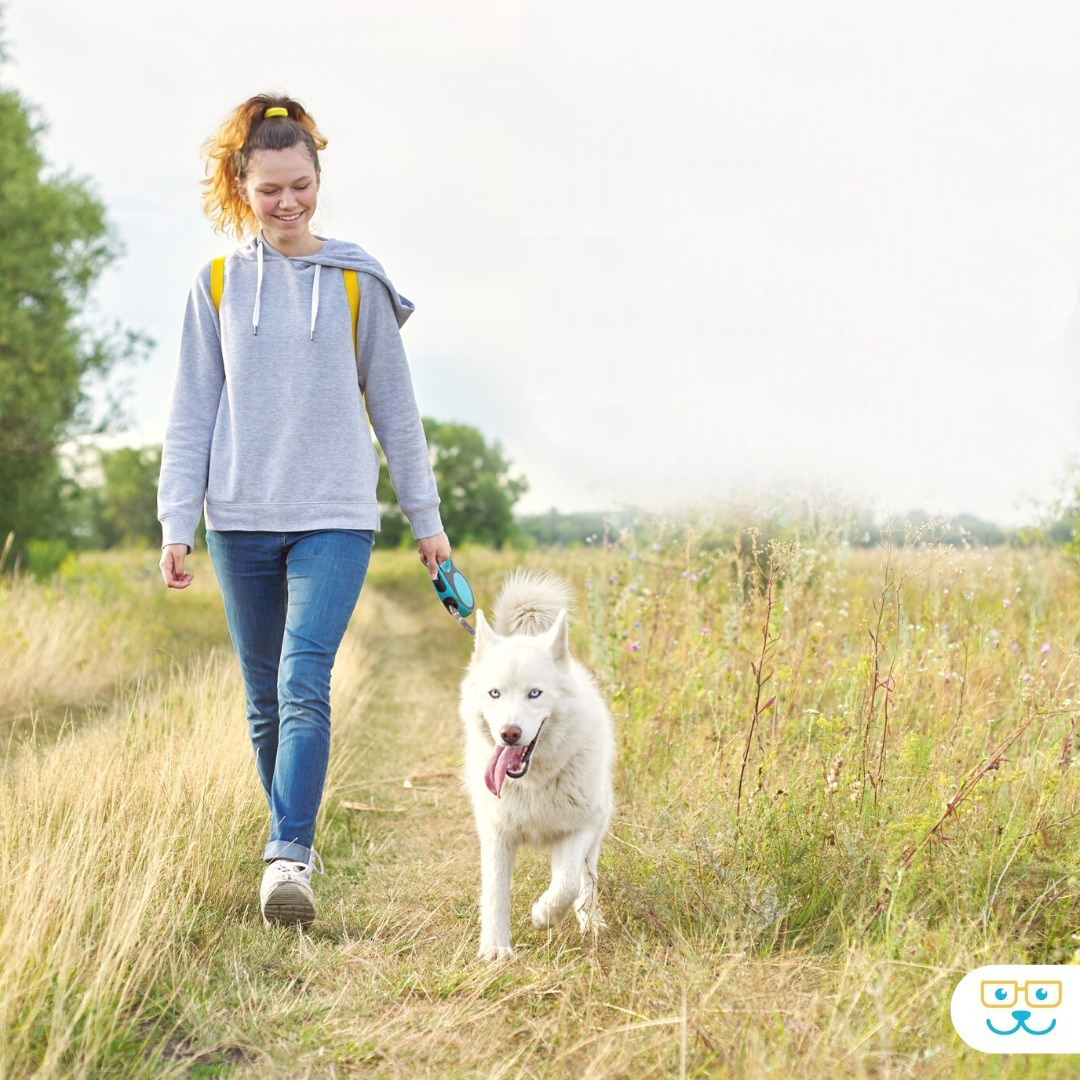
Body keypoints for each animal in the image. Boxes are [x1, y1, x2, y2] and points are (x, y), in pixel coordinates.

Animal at [460, 570, 617, 959]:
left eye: (535, 693)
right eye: (495, 693)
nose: (509, 734)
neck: (532, 782)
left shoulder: (577, 829)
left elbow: (566, 884)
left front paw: (544, 915)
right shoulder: (496, 834)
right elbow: (496, 893)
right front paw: (495, 948)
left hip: (598, 825)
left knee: (587, 878)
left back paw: (591, 920)